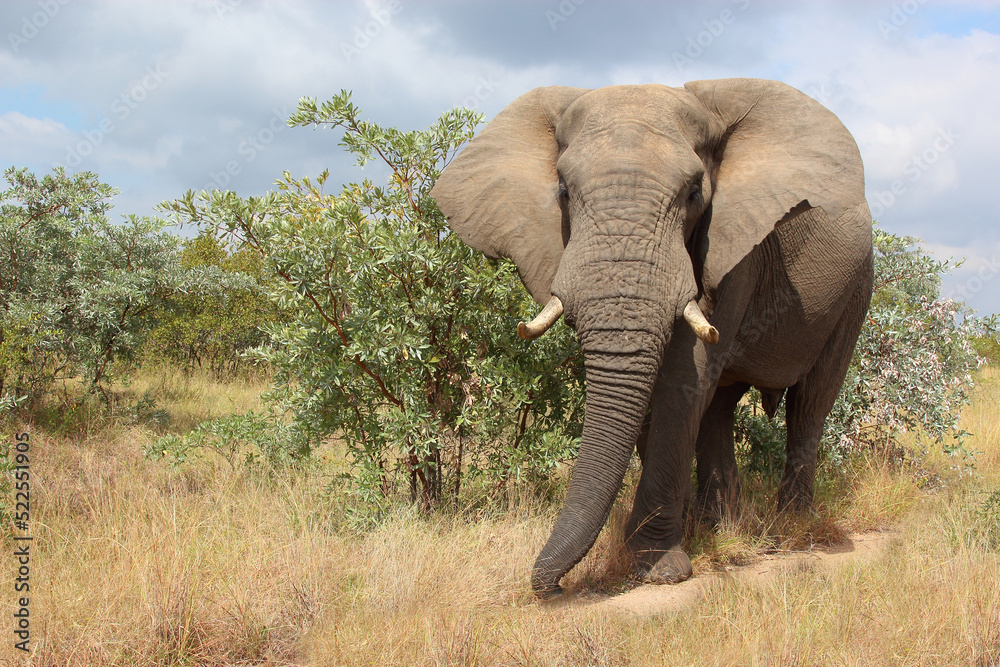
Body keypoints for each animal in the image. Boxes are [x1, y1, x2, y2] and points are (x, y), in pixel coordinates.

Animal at [430, 78, 873, 599]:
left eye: (695, 193)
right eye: (562, 191)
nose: (549, 587)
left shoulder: (737, 246)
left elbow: (683, 378)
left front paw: (658, 570)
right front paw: (664, 551)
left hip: (857, 285)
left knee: (811, 400)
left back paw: (793, 527)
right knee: (721, 406)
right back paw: (720, 527)